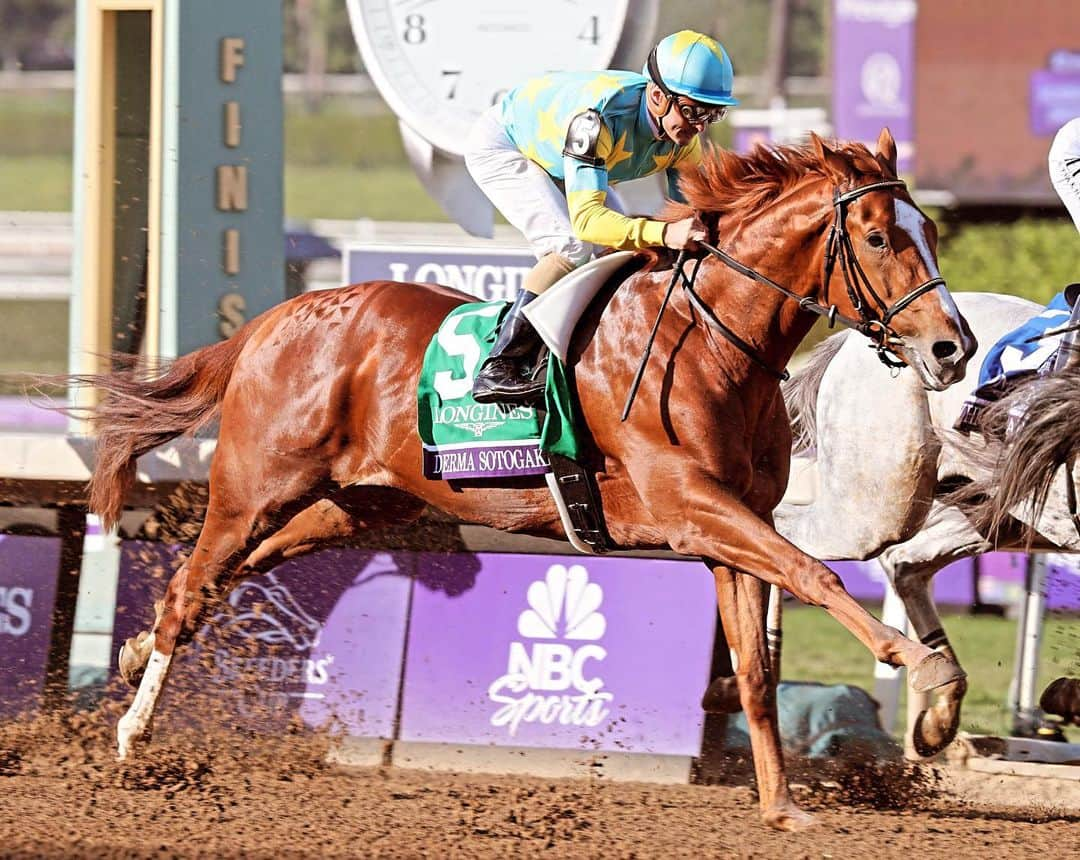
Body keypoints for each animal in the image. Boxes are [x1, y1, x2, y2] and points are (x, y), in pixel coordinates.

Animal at [86, 129, 980, 834]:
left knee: (232, 574)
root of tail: (273, 320)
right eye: (876, 238)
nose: (953, 348)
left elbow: (758, 669)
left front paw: (781, 804)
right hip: (253, 488)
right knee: (194, 584)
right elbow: (814, 571)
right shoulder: (693, 508)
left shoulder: (731, 528)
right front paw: (922, 666)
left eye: (931, 230)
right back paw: (133, 733)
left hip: (354, 506)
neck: (710, 341)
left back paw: (132, 653)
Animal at [773, 291, 1080, 756]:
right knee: (776, 528)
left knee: (905, 563)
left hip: (990, 511)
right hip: (872, 508)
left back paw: (938, 701)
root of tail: (856, 336)